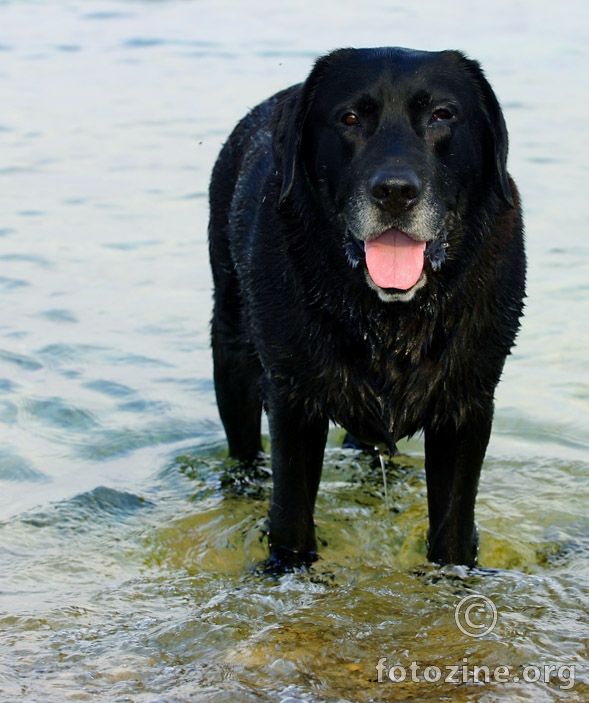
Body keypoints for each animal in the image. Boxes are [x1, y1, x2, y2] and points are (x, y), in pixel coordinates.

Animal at [209, 46, 524, 568]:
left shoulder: (468, 405)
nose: (395, 191)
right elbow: (291, 518)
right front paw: (287, 571)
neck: (392, 317)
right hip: (230, 343)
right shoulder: (293, 401)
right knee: (244, 447)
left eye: (442, 114)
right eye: (350, 118)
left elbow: (453, 531)